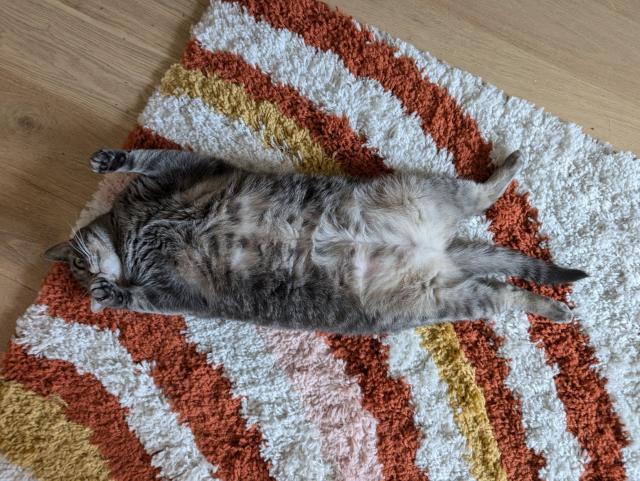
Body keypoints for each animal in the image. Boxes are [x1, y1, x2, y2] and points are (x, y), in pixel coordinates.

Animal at [43, 147, 584, 334]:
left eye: (76, 262)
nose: (89, 275)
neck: (133, 235)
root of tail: (440, 252)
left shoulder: (179, 172)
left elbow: (145, 155)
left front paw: (110, 159)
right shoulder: (170, 292)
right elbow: (139, 298)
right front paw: (109, 293)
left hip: (429, 191)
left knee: (481, 195)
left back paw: (508, 165)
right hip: (447, 297)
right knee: (504, 291)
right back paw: (551, 305)